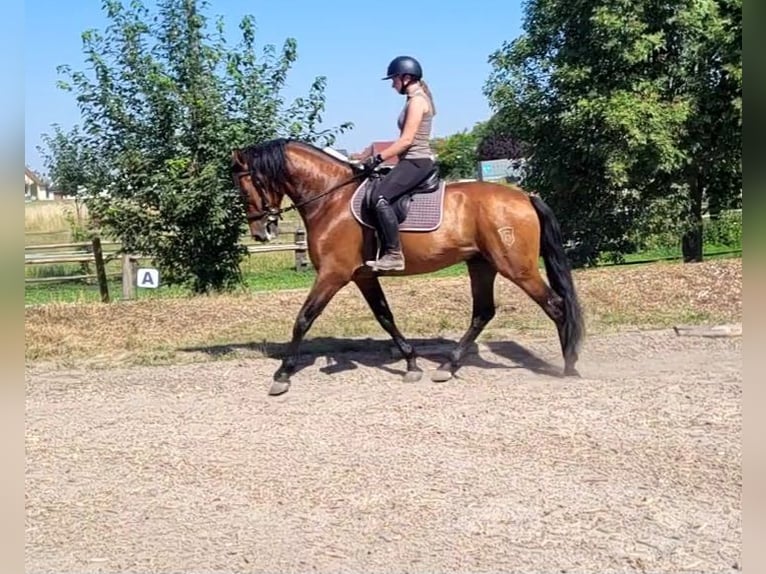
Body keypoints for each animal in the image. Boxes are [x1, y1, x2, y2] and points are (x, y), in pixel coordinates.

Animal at [230, 137, 585, 396]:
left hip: (517, 267)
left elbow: (303, 319)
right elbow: (385, 316)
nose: (261, 232)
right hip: (481, 264)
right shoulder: (363, 276)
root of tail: (524, 196)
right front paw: (412, 364)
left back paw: (570, 365)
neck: (332, 200)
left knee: (555, 305)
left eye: (249, 185)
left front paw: (282, 375)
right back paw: (447, 367)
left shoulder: (333, 274)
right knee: (483, 312)